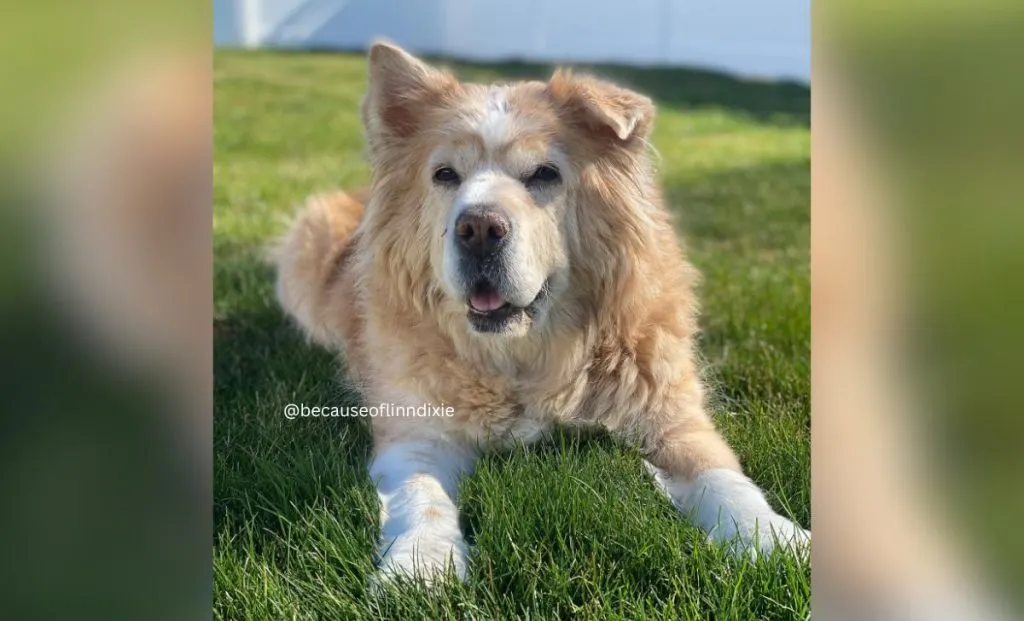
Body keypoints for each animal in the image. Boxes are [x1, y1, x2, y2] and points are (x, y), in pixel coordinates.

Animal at [276, 41, 811, 586]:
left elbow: (727, 481)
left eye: (544, 175)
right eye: (445, 175)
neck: (526, 355)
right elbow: (420, 498)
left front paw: (778, 540)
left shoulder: (672, 418)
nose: (478, 229)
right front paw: (419, 567)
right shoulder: (415, 433)